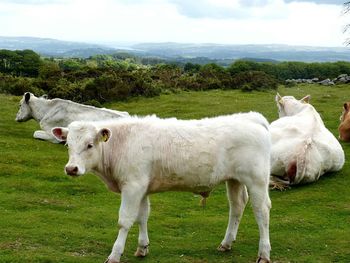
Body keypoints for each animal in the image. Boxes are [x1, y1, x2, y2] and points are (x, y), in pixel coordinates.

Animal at [50, 113, 272, 263]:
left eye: (89, 145)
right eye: (67, 145)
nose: (71, 168)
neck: (122, 144)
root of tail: (251, 118)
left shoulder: (132, 186)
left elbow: (124, 221)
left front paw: (114, 254)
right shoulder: (141, 187)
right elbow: (142, 216)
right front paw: (142, 247)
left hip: (257, 180)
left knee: (261, 211)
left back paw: (264, 253)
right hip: (234, 180)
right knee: (237, 207)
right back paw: (226, 244)